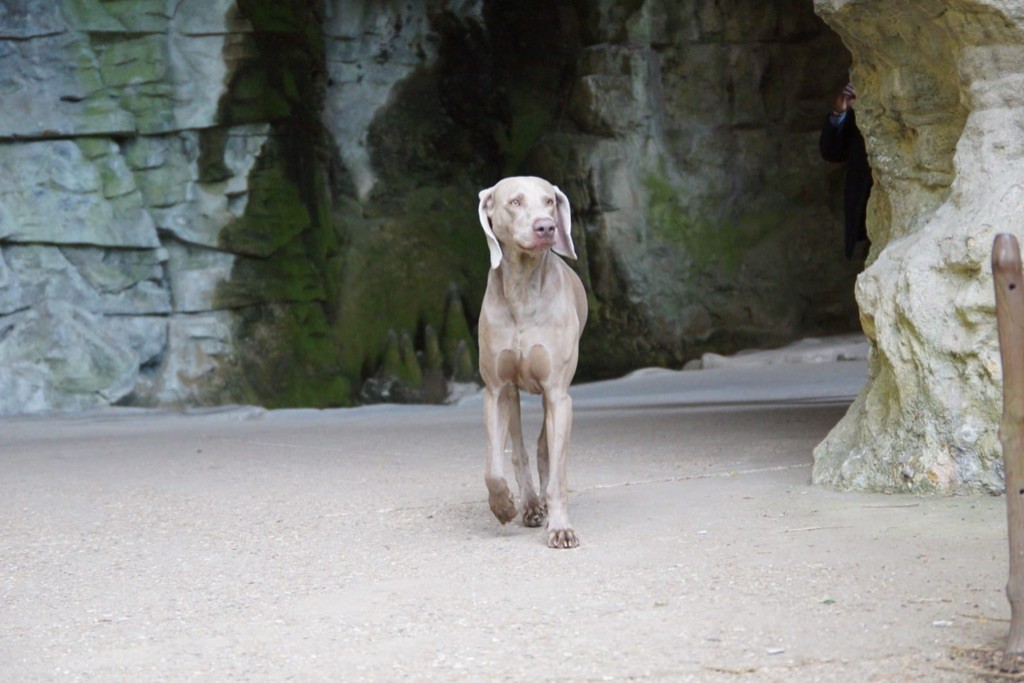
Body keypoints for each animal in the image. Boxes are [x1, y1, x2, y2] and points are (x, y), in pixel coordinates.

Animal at [475, 178, 589, 548]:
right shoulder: (496, 390)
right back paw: (528, 505)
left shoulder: (558, 393)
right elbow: (493, 467)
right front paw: (503, 505)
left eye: (550, 201)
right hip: (512, 395)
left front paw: (561, 527)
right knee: (518, 450)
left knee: (544, 449)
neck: (523, 290)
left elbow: (557, 473)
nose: (546, 227)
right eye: (515, 202)